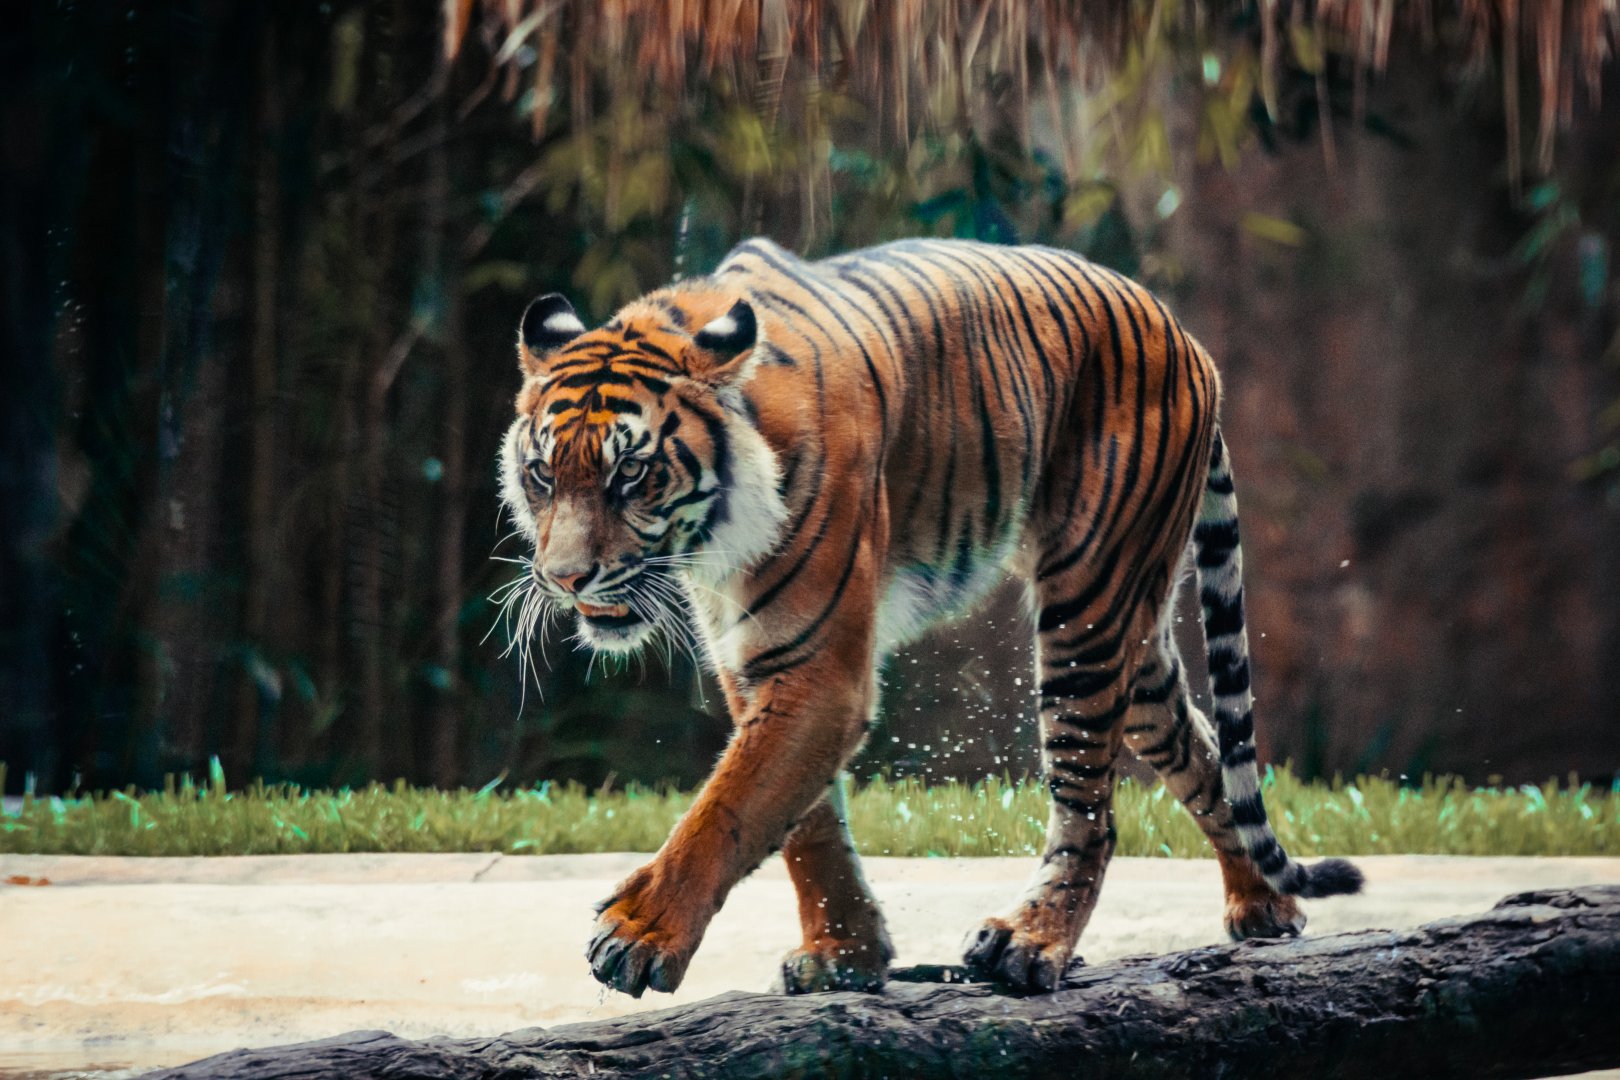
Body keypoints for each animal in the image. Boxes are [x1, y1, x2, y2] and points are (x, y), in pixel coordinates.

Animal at [497, 236, 1363, 998]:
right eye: (542, 474)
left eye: (631, 474)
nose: (565, 578)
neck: (712, 541)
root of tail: (1186, 336)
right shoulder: (759, 659)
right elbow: (803, 822)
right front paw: (844, 956)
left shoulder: (818, 668)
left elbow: (728, 807)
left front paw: (639, 935)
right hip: (1136, 631)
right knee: (1203, 748)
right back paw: (1263, 906)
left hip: (1085, 609)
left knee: (1089, 806)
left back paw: (1030, 942)